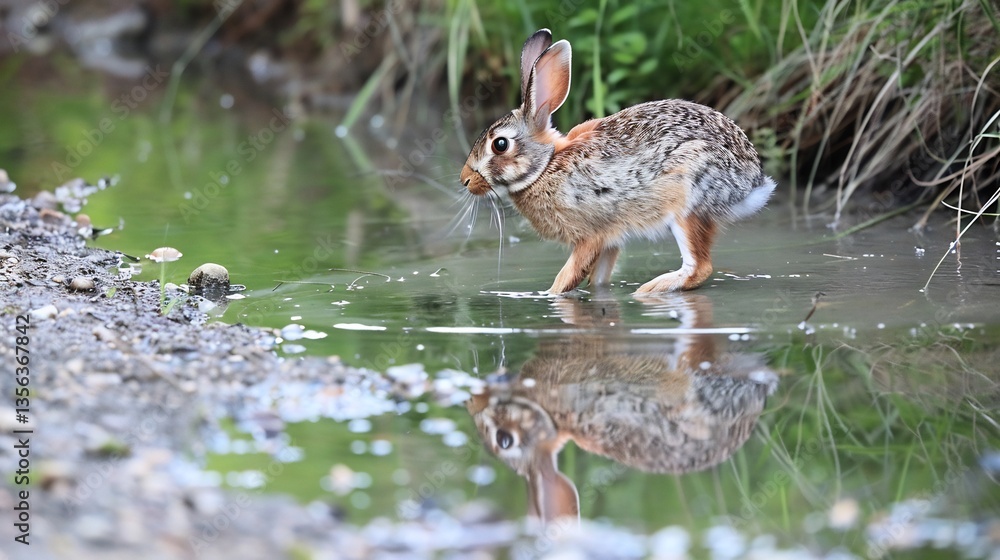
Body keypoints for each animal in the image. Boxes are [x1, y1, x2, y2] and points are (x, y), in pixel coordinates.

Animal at [460, 29, 776, 294]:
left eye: (500, 144)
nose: (465, 180)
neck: (546, 165)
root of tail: (752, 182)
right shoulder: (610, 240)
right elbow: (598, 277)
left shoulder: (590, 235)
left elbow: (568, 276)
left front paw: (549, 295)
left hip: (686, 201)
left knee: (699, 267)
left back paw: (649, 290)